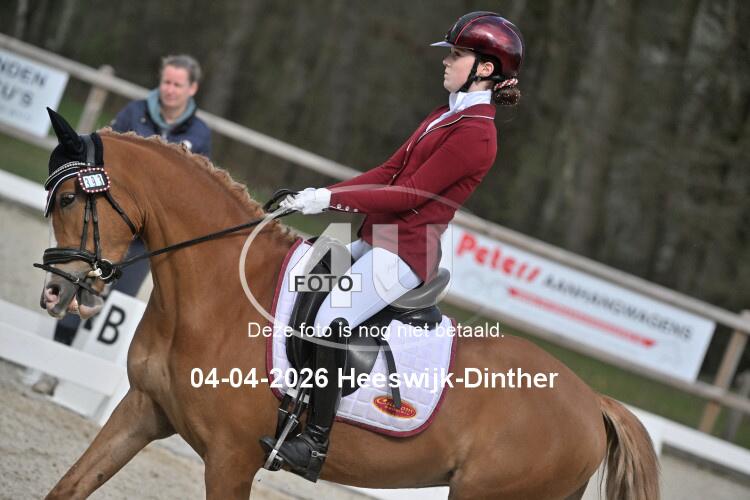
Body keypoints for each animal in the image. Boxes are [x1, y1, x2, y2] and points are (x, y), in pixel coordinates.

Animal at [38, 112, 659, 500]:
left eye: (68, 199)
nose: (55, 292)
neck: (213, 293)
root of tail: (592, 400)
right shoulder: (143, 410)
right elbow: (68, 486)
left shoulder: (230, 460)